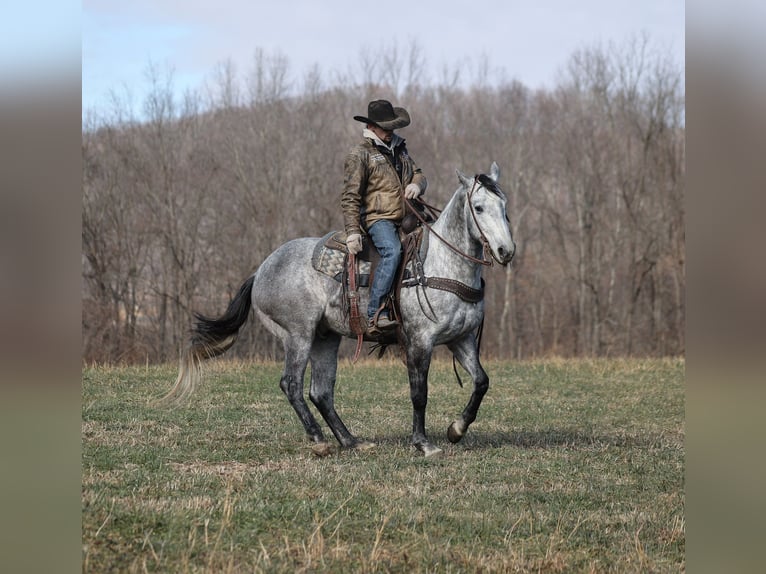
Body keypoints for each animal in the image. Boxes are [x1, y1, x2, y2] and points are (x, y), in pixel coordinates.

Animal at [161, 162, 515, 457]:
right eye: (479, 207)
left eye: (504, 206)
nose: (505, 251)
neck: (440, 264)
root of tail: (259, 271)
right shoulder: (419, 342)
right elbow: (419, 393)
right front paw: (423, 444)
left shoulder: (462, 339)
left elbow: (481, 382)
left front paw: (457, 429)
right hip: (298, 335)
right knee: (291, 384)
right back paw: (319, 441)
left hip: (325, 338)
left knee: (320, 392)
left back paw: (350, 440)